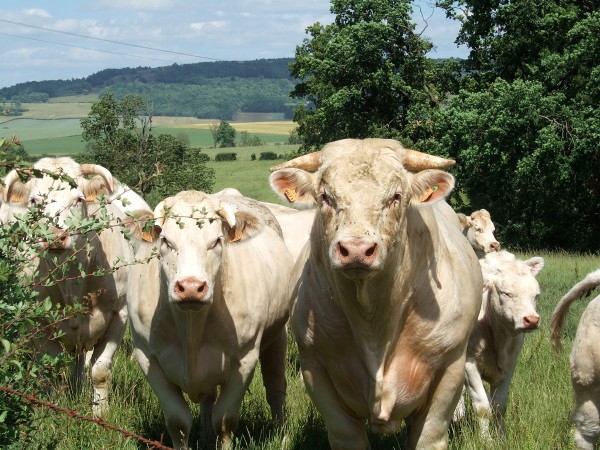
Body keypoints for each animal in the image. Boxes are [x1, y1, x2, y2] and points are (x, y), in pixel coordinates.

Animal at [0, 156, 134, 416]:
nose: (54, 236)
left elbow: (100, 371)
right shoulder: (38, 325)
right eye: (34, 201)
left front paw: (100, 414)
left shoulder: (118, 316)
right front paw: (51, 411)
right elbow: (48, 373)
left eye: (78, 199)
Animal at [270, 138, 480, 450]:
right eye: (325, 196)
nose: (356, 250)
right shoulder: (316, 369)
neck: (373, 323)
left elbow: (430, 436)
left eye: (395, 196)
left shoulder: (449, 368)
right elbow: (346, 435)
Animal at [458, 250, 548, 436]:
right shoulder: (469, 364)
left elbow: (499, 405)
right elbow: (482, 406)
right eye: (506, 293)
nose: (532, 320)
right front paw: (485, 439)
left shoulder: (509, 366)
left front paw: (501, 436)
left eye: (536, 295)